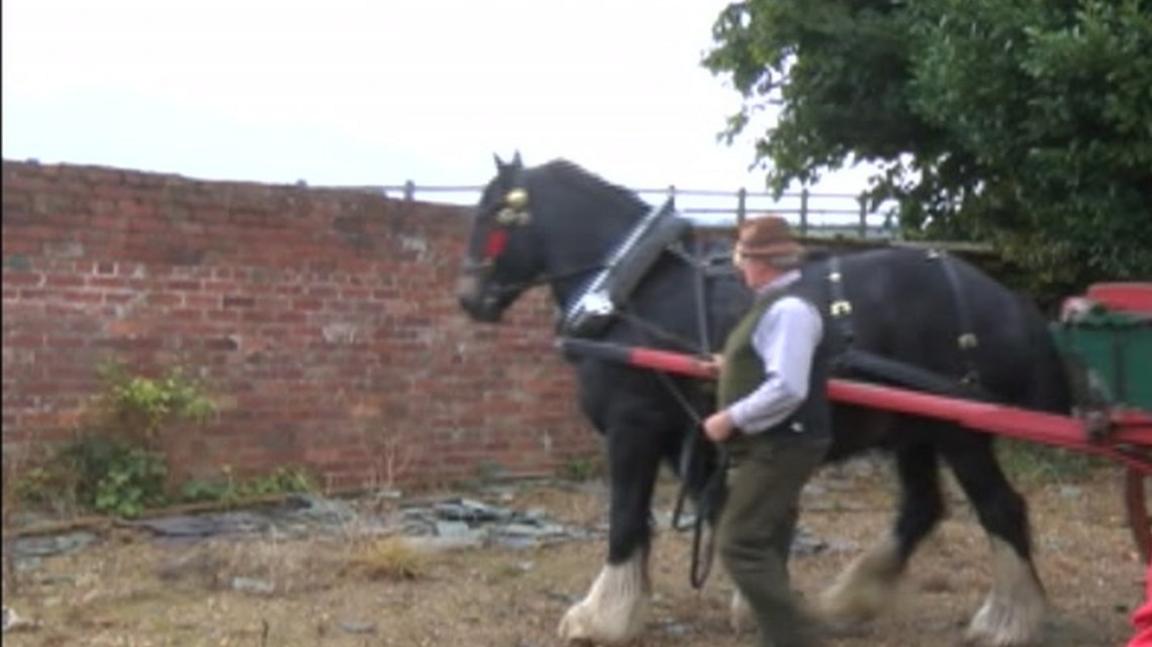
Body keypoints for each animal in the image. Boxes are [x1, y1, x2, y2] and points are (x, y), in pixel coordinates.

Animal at [456, 153, 1069, 640]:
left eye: (491, 214)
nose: (469, 298)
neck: (629, 290)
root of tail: (1007, 301)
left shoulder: (634, 429)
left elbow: (626, 519)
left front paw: (601, 618)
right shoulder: (696, 437)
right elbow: (724, 514)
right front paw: (755, 603)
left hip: (959, 431)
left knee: (1000, 509)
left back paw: (1007, 621)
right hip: (911, 429)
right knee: (921, 508)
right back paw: (846, 600)